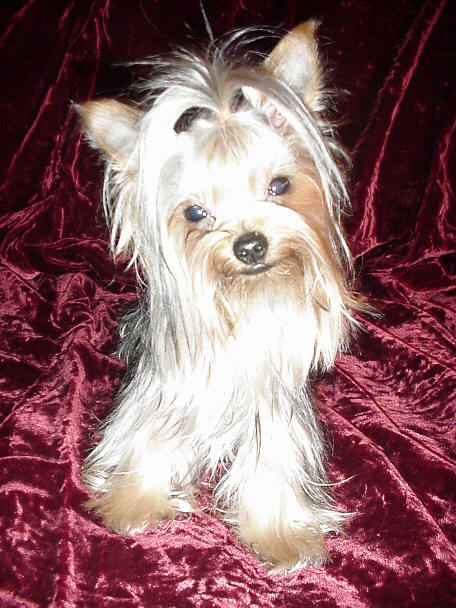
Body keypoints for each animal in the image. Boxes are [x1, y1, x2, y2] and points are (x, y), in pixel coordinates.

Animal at [78, 20, 364, 572]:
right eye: (195, 213)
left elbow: (274, 461)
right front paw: (132, 501)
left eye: (280, 185)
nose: (249, 245)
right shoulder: (164, 388)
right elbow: (146, 433)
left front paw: (280, 534)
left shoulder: (273, 409)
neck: (247, 300)